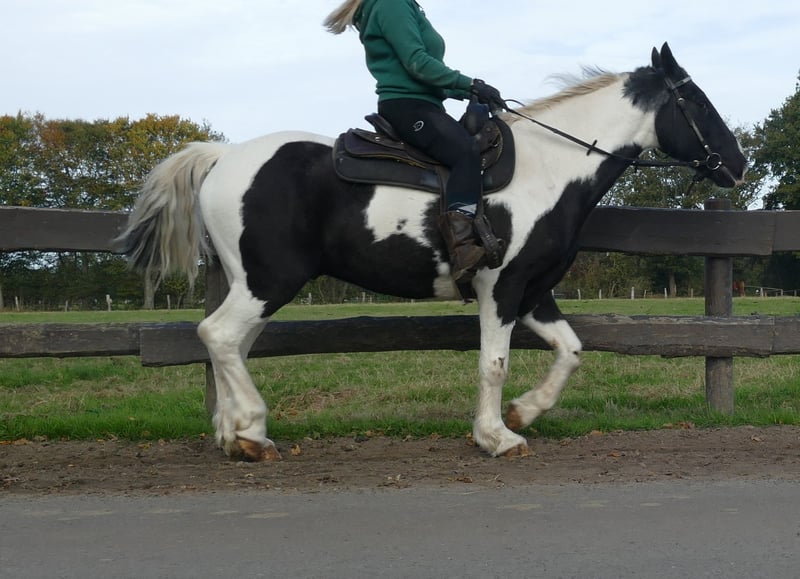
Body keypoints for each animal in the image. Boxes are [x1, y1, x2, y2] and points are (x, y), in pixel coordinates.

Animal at [116, 43, 746, 461]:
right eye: (697, 102)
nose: (738, 166)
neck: (551, 168)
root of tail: (222, 157)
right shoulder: (501, 287)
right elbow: (494, 362)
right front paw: (497, 436)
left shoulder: (533, 290)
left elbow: (570, 351)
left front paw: (523, 411)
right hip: (270, 280)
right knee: (219, 335)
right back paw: (249, 428)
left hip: (255, 282)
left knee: (231, 344)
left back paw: (237, 434)